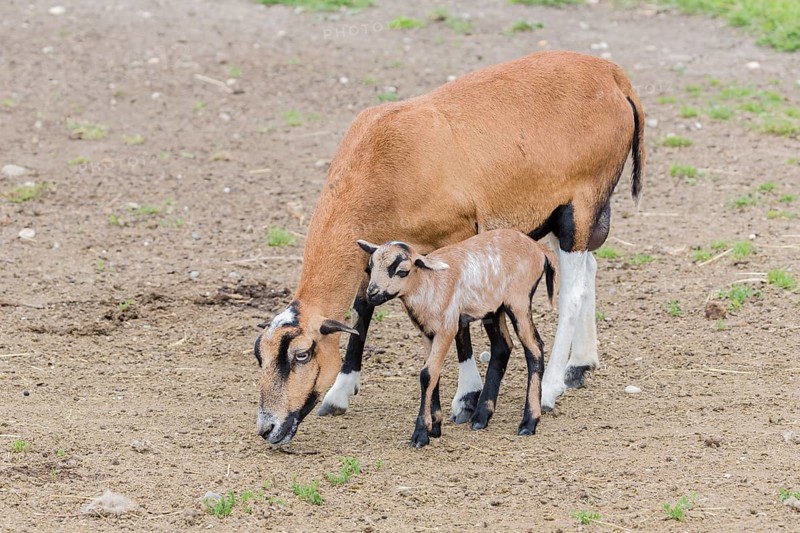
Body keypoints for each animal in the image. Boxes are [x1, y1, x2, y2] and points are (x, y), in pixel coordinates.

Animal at [356, 230, 558, 447]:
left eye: (402, 271)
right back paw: (481, 417)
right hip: (494, 308)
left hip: (519, 301)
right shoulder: (427, 332)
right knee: (502, 347)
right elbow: (432, 373)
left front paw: (421, 434)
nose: (372, 294)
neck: (428, 283)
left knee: (534, 348)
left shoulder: (447, 328)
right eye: (371, 266)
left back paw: (528, 422)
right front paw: (435, 426)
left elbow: (427, 374)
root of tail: (539, 249)